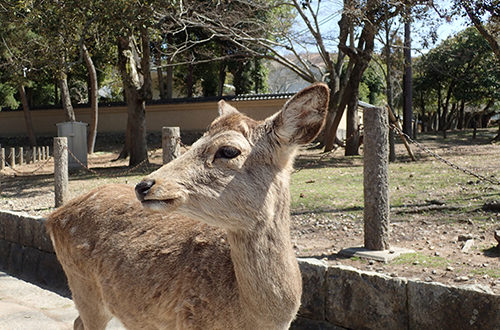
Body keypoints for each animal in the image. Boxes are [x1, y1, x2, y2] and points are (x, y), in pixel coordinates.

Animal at [46, 83, 328, 330]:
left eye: (228, 151)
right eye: (195, 142)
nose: (144, 185)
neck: (255, 319)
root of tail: (53, 216)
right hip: (83, 287)